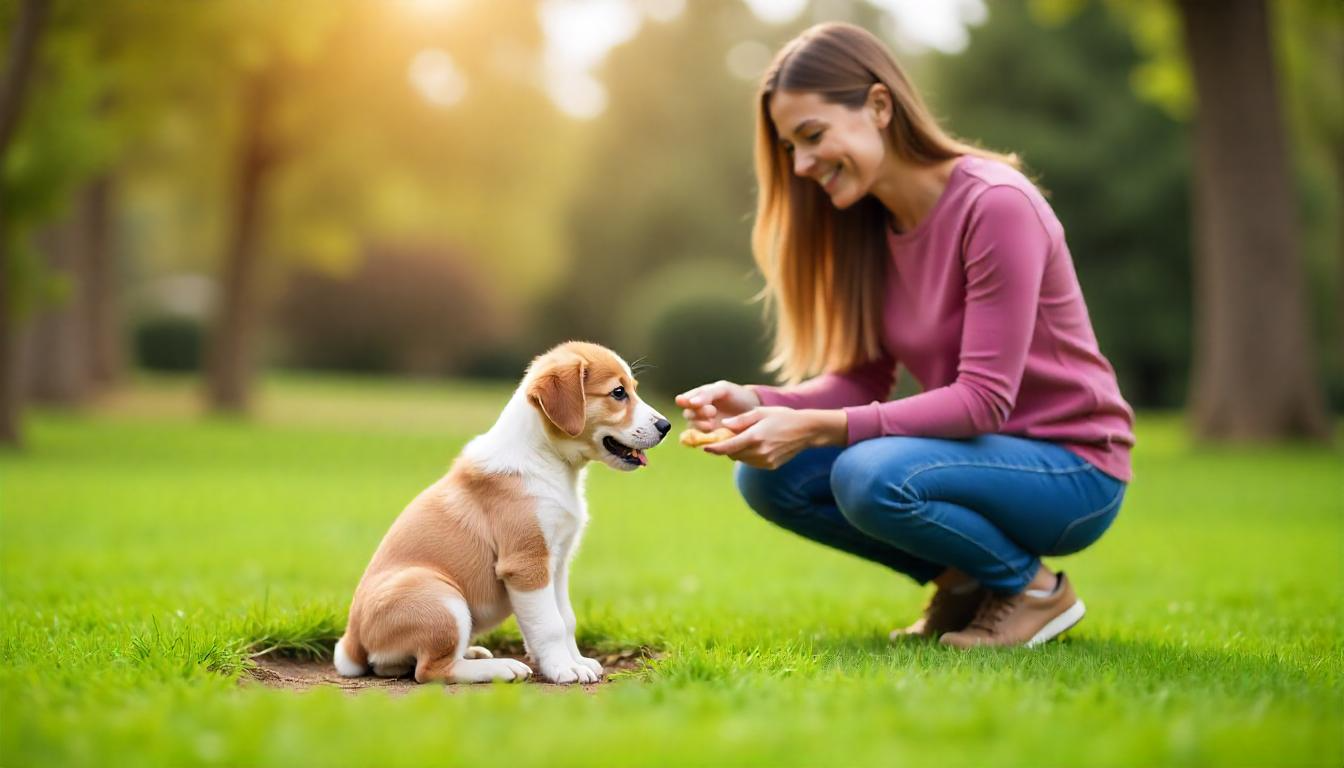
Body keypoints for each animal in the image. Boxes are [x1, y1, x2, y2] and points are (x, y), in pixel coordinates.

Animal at [333, 342, 669, 685]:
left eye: (632, 388)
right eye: (618, 392)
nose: (666, 426)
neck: (548, 460)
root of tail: (350, 643)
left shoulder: (558, 564)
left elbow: (566, 618)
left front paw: (576, 661)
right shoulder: (527, 564)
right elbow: (551, 625)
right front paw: (564, 669)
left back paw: (473, 652)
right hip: (440, 596)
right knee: (430, 670)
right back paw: (501, 668)